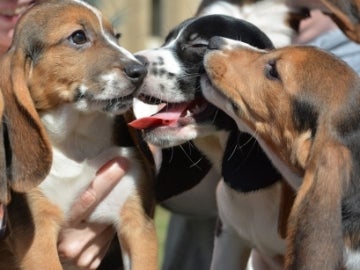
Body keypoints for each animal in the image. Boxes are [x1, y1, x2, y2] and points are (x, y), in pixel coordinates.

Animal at [0, 0, 157, 270]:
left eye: (117, 36)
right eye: (79, 37)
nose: (141, 70)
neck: (77, 141)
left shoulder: (137, 225)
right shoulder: (38, 238)